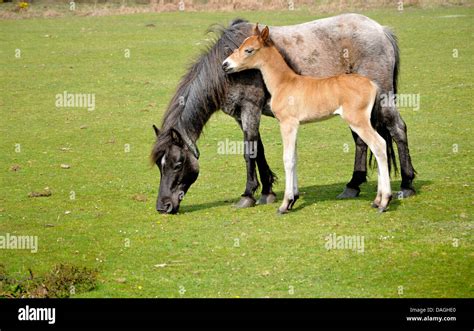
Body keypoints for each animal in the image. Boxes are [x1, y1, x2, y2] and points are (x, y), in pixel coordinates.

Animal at [151, 14, 414, 214]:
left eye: (177, 163)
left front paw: (248, 195)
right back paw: (353, 186)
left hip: (384, 101)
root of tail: (382, 30)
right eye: (159, 165)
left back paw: (406, 184)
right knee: (362, 141)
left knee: (397, 130)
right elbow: (259, 149)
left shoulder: (250, 108)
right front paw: (268, 191)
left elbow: (249, 152)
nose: (163, 206)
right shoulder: (241, 115)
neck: (225, 76)